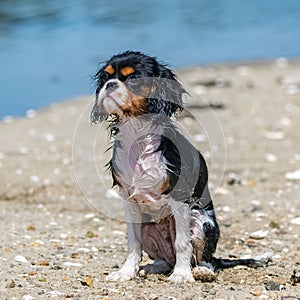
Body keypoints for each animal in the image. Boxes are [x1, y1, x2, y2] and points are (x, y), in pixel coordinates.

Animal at [90, 50, 270, 282]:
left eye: (134, 78)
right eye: (105, 77)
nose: (110, 85)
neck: (138, 134)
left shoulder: (180, 198)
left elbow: (182, 243)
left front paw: (182, 275)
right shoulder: (129, 201)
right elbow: (133, 243)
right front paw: (126, 272)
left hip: (201, 221)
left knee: (206, 260)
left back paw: (201, 271)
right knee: (164, 260)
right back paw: (150, 268)